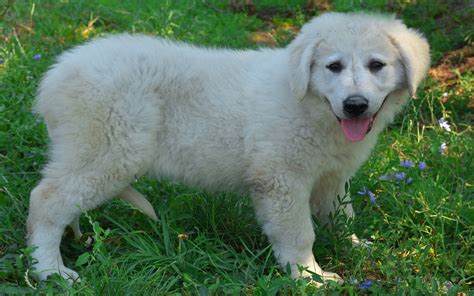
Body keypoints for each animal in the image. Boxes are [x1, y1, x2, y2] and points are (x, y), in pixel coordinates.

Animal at [27, 12, 432, 284]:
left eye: (377, 65)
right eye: (333, 66)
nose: (355, 105)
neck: (310, 103)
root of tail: (54, 78)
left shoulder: (331, 176)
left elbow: (340, 214)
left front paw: (354, 245)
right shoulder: (281, 180)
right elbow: (299, 232)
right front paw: (309, 276)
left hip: (87, 155)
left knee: (64, 200)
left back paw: (74, 239)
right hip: (109, 152)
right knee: (46, 201)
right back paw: (50, 269)